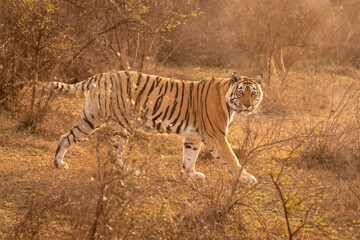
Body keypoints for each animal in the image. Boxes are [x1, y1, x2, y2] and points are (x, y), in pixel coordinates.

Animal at [50, 71, 262, 184]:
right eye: (241, 92)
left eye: (253, 93)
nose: (248, 105)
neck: (228, 99)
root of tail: (101, 76)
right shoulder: (216, 135)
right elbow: (231, 158)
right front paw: (247, 178)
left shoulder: (193, 136)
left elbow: (190, 157)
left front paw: (191, 175)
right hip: (121, 124)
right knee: (114, 153)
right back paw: (129, 171)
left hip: (90, 117)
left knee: (66, 137)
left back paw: (59, 163)